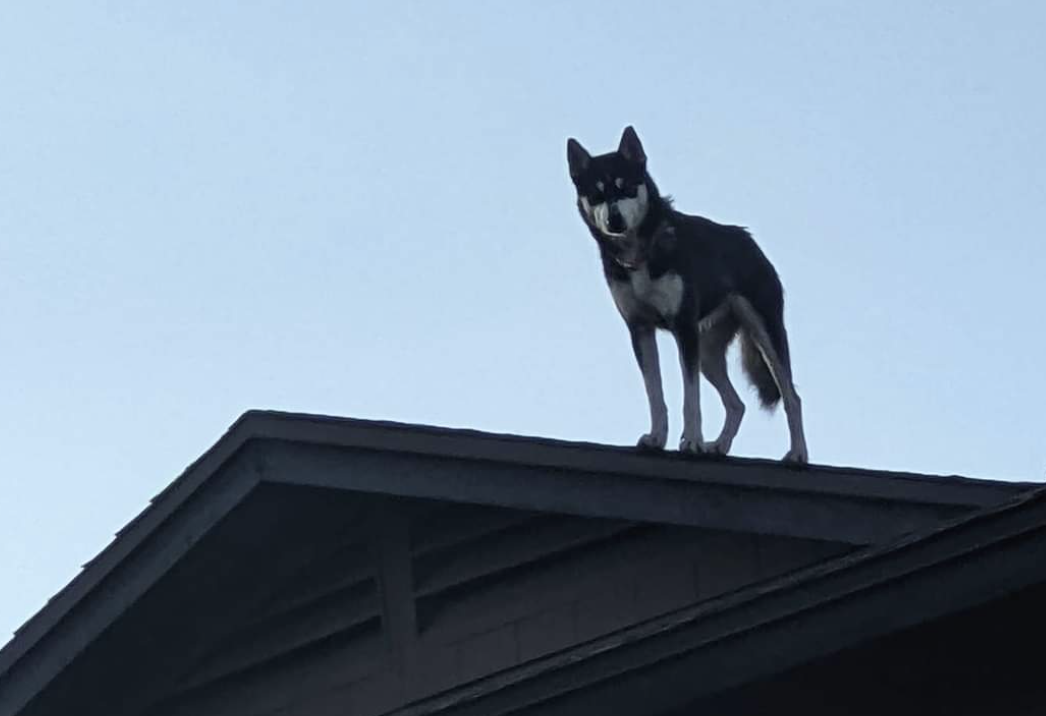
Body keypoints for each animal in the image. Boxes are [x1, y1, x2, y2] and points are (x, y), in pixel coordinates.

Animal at [569, 126, 803, 464]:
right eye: (597, 194)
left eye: (626, 187)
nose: (615, 220)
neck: (639, 254)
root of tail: (749, 239)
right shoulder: (640, 329)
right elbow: (655, 394)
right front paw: (657, 437)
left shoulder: (682, 327)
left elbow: (690, 399)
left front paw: (691, 440)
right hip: (706, 351)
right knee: (737, 404)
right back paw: (718, 445)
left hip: (764, 336)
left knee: (792, 396)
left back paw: (798, 453)